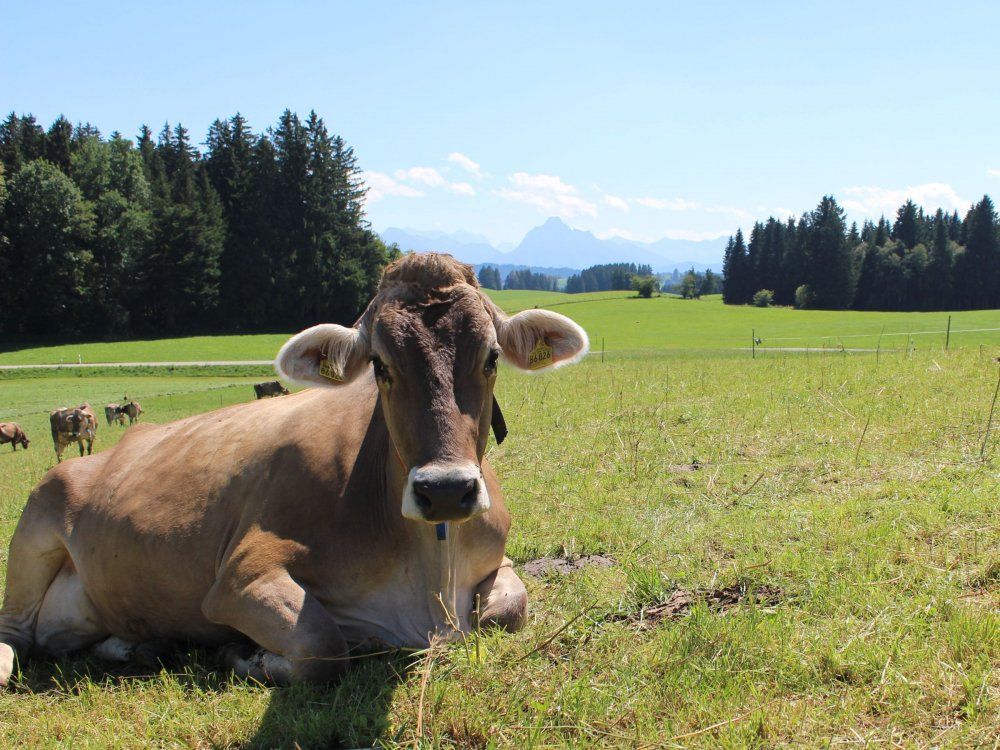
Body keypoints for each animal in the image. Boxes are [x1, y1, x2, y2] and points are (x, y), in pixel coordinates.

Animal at [0, 252, 588, 687]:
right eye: (380, 365)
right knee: (14, 634)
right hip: (36, 519)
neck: (430, 577)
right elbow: (322, 645)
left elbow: (508, 611)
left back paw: (141, 645)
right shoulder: (240, 574)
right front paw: (243, 655)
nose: (445, 491)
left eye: (491, 356)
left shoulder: (496, 558)